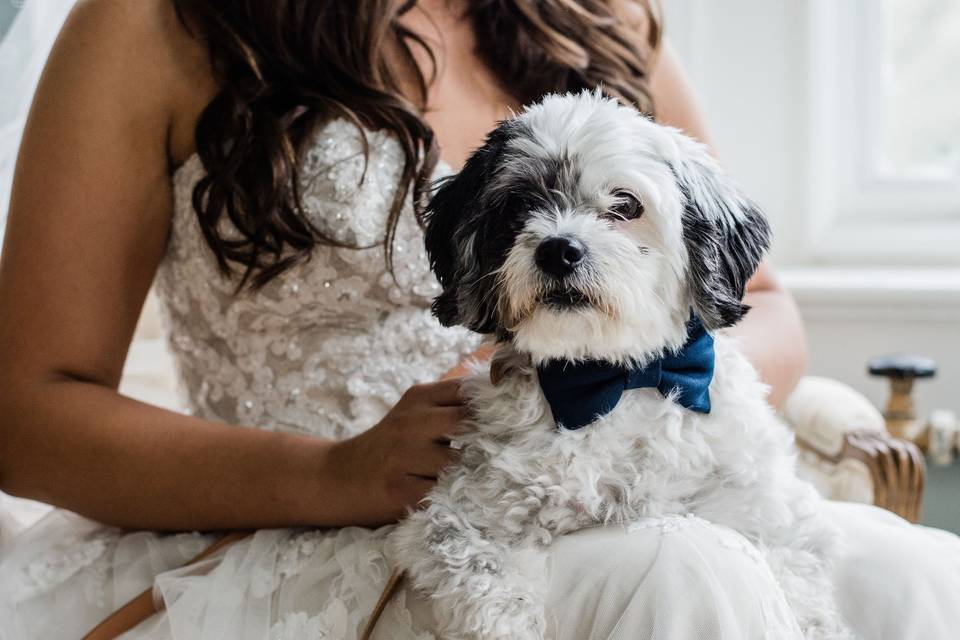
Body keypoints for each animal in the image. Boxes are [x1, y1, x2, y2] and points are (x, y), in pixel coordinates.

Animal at [386, 91, 852, 640]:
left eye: (626, 204)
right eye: (519, 205)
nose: (559, 249)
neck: (617, 380)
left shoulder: (772, 515)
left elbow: (801, 582)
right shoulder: (456, 520)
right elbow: (487, 587)